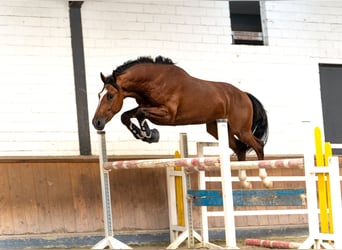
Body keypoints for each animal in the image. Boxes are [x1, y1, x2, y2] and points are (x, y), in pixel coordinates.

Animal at [92, 55, 268, 161]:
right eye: (99, 95)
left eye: (110, 96)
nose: (96, 123)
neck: (153, 81)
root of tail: (244, 95)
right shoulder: (147, 106)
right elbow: (126, 116)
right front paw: (142, 134)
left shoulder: (168, 115)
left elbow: (141, 114)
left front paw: (149, 134)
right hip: (216, 128)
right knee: (239, 149)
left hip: (241, 129)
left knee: (258, 145)